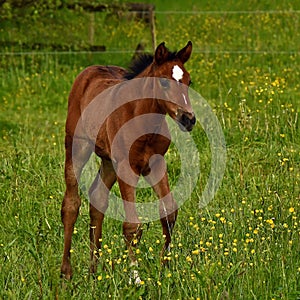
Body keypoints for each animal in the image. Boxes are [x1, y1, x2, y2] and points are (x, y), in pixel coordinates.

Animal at [61, 40, 197, 278]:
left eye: (189, 81)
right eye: (164, 82)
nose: (188, 118)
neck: (141, 120)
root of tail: (88, 71)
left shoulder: (155, 163)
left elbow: (169, 213)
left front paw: (165, 270)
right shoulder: (126, 167)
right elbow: (132, 226)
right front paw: (136, 277)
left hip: (108, 161)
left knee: (97, 199)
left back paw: (93, 272)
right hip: (77, 146)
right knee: (71, 204)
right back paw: (66, 272)